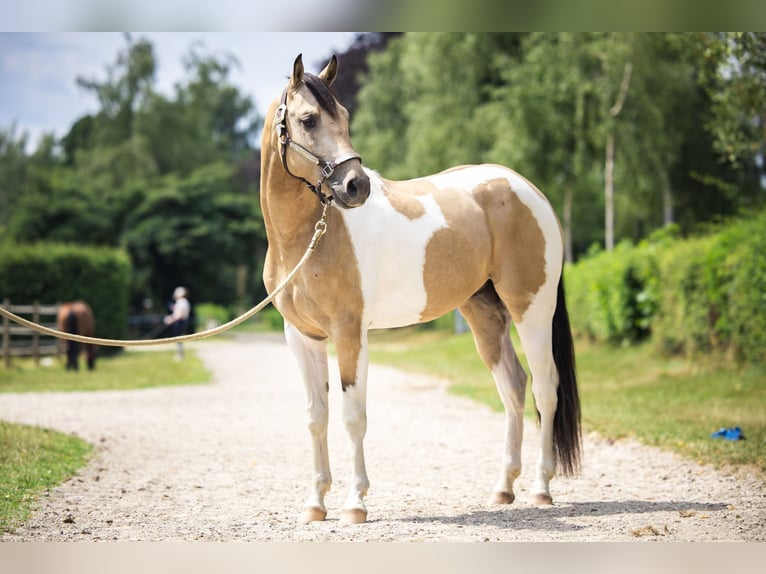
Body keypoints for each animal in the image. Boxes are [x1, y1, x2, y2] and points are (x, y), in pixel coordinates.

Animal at [260, 54, 581, 525]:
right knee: (513, 385)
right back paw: (503, 489)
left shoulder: (350, 333)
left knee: (545, 387)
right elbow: (316, 417)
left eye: (345, 116)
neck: (311, 236)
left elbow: (353, 416)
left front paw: (355, 504)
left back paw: (541, 489)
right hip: (484, 314)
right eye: (308, 119)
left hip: (532, 309)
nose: (356, 186)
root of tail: (527, 189)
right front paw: (315, 503)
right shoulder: (302, 336)